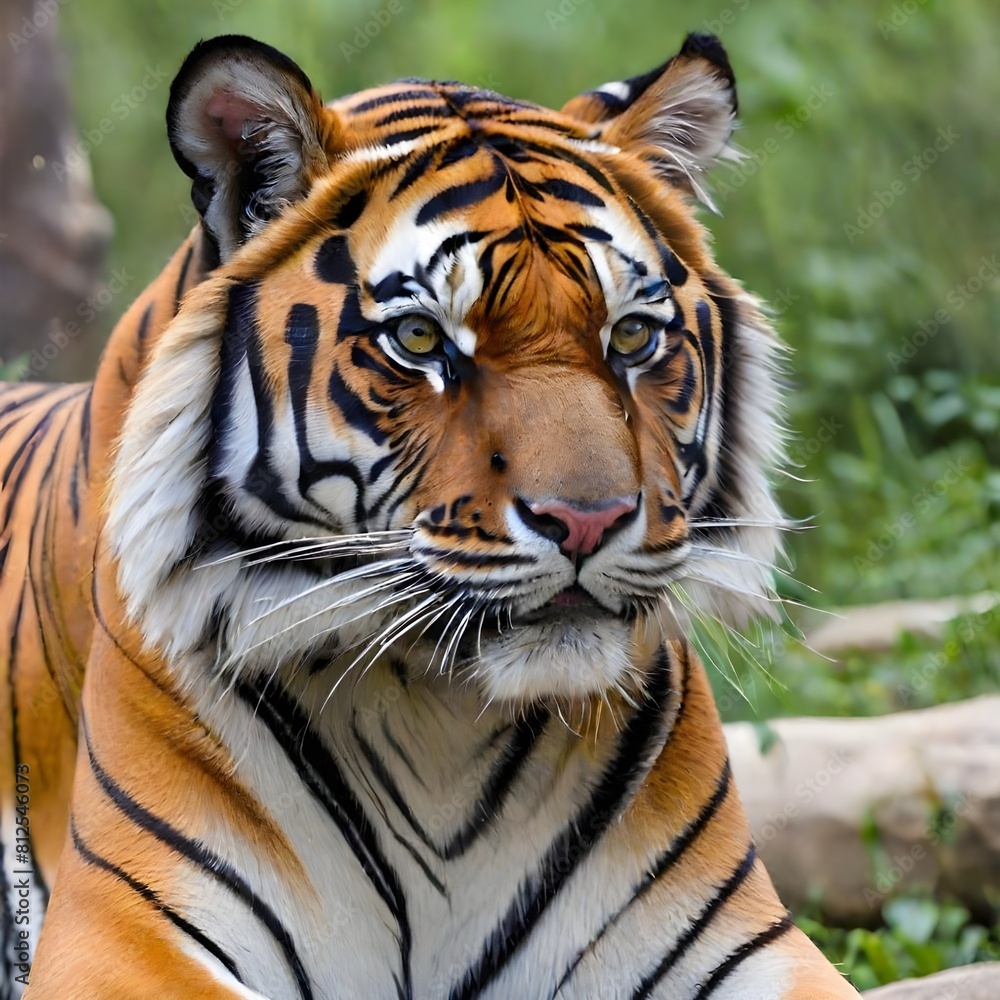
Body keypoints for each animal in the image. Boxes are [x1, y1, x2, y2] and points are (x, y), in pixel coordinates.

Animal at [0, 31, 860, 999]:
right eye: (421, 341)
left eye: (632, 338)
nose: (589, 521)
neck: (442, 718)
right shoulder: (118, 935)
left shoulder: (738, 936)